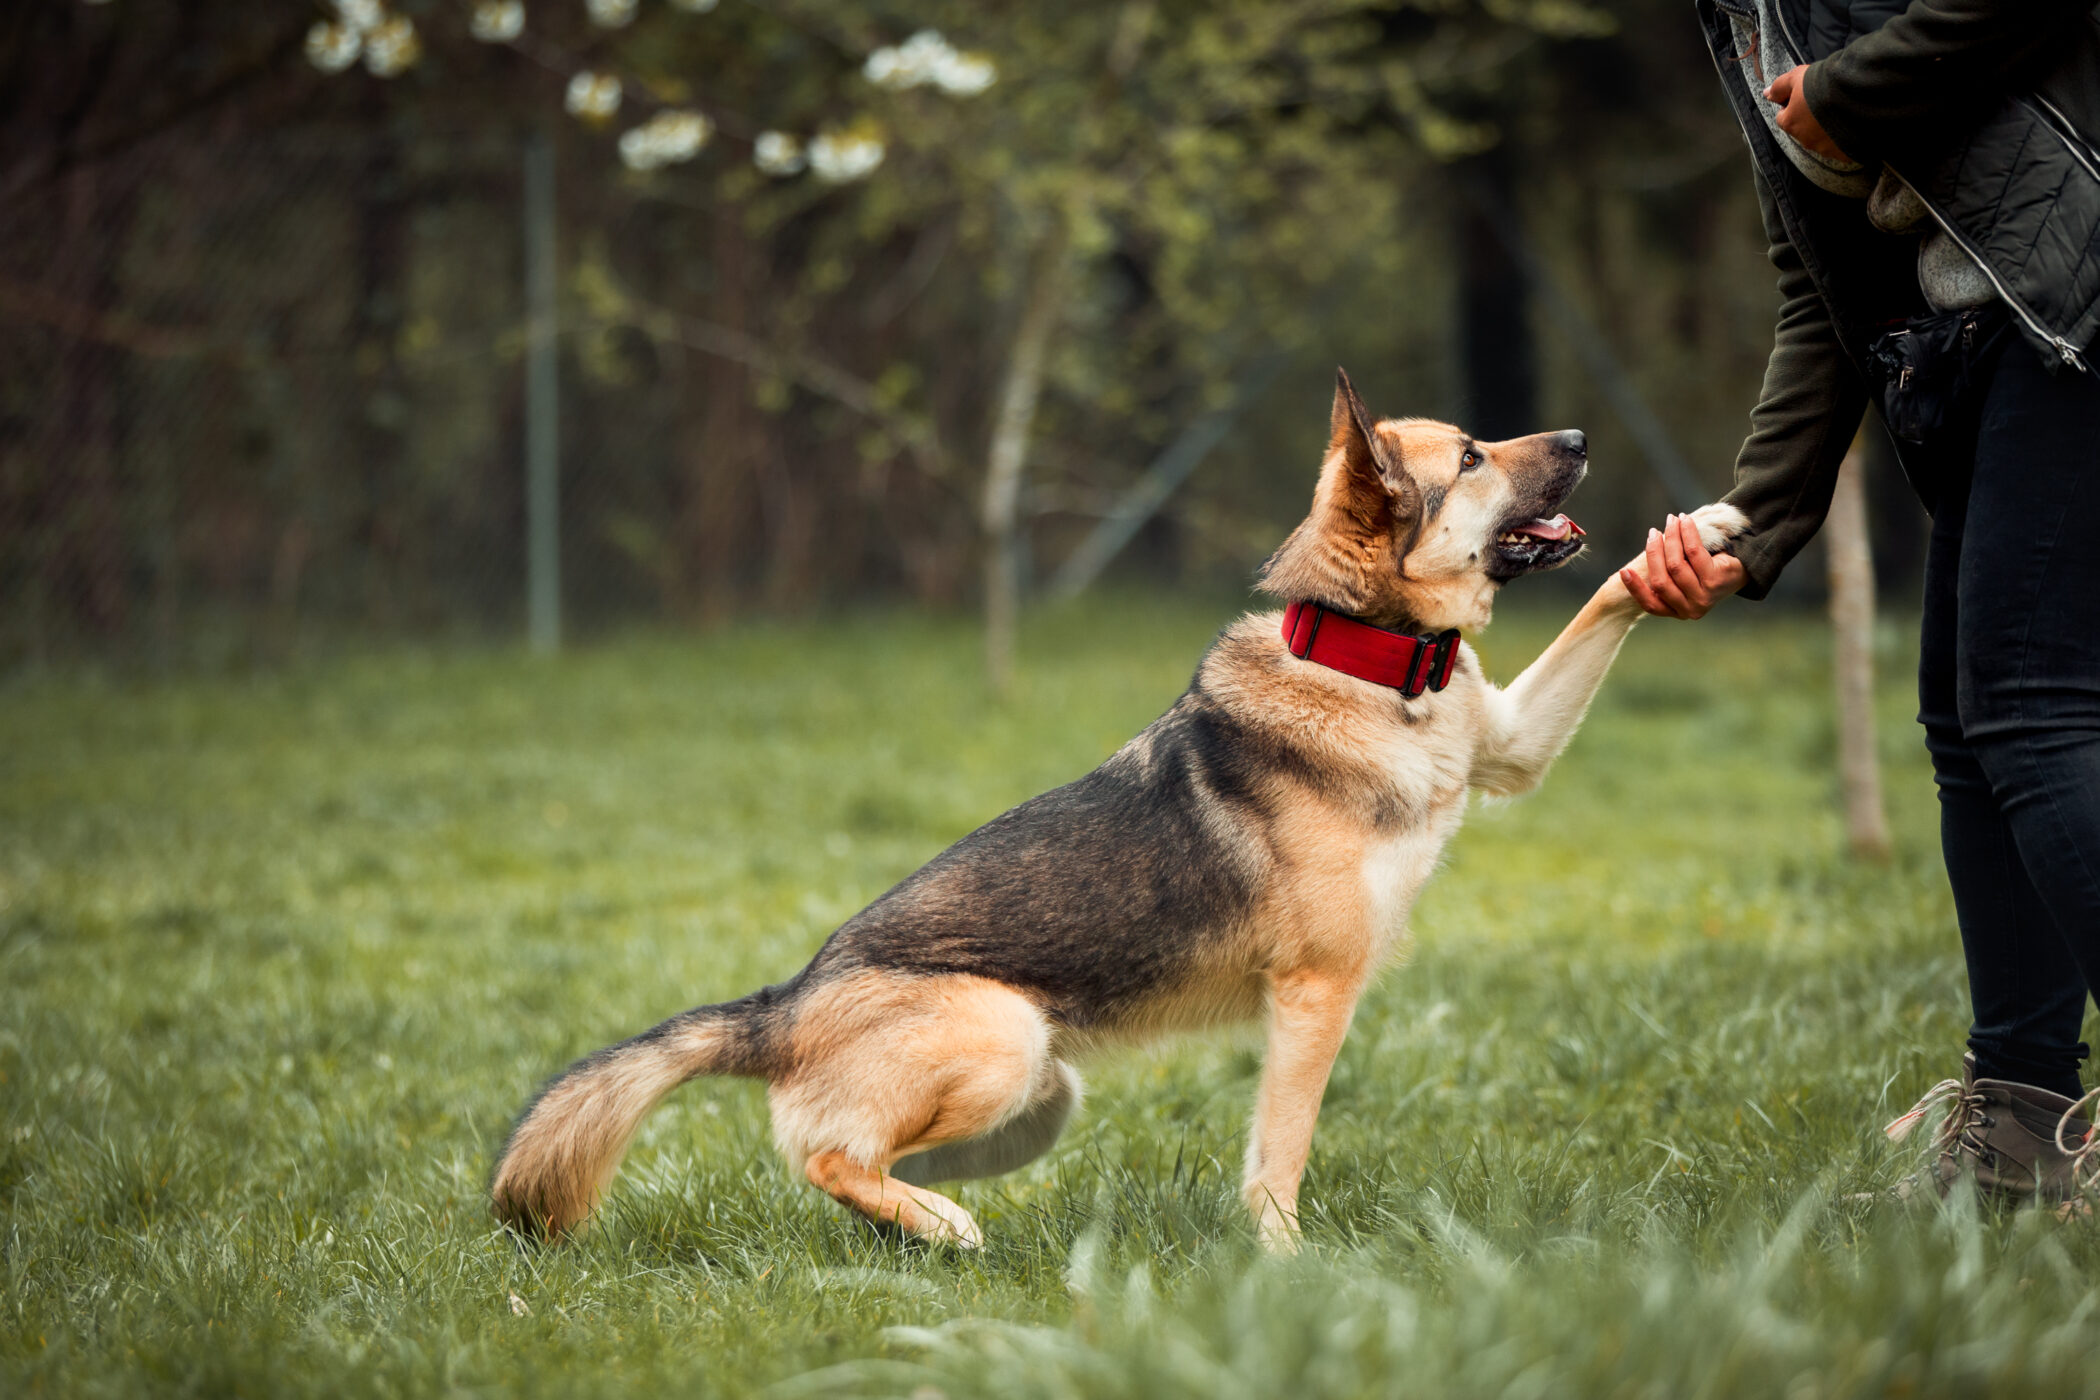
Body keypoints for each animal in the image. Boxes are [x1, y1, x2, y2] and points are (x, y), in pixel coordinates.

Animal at [490, 370, 1745, 1251]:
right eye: (1476, 454)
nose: (1578, 438)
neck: (1368, 658)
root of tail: (782, 1005)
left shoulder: (1516, 745)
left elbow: (1607, 594)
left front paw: (1706, 533)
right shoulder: (1312, 996)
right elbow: (1279, 1151)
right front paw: (1286, 1259)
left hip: (1042, 1092)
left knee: (842, 1159)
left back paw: (924, 1232)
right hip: (1005, 1035)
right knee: (823, 1156)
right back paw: (943, 1227)